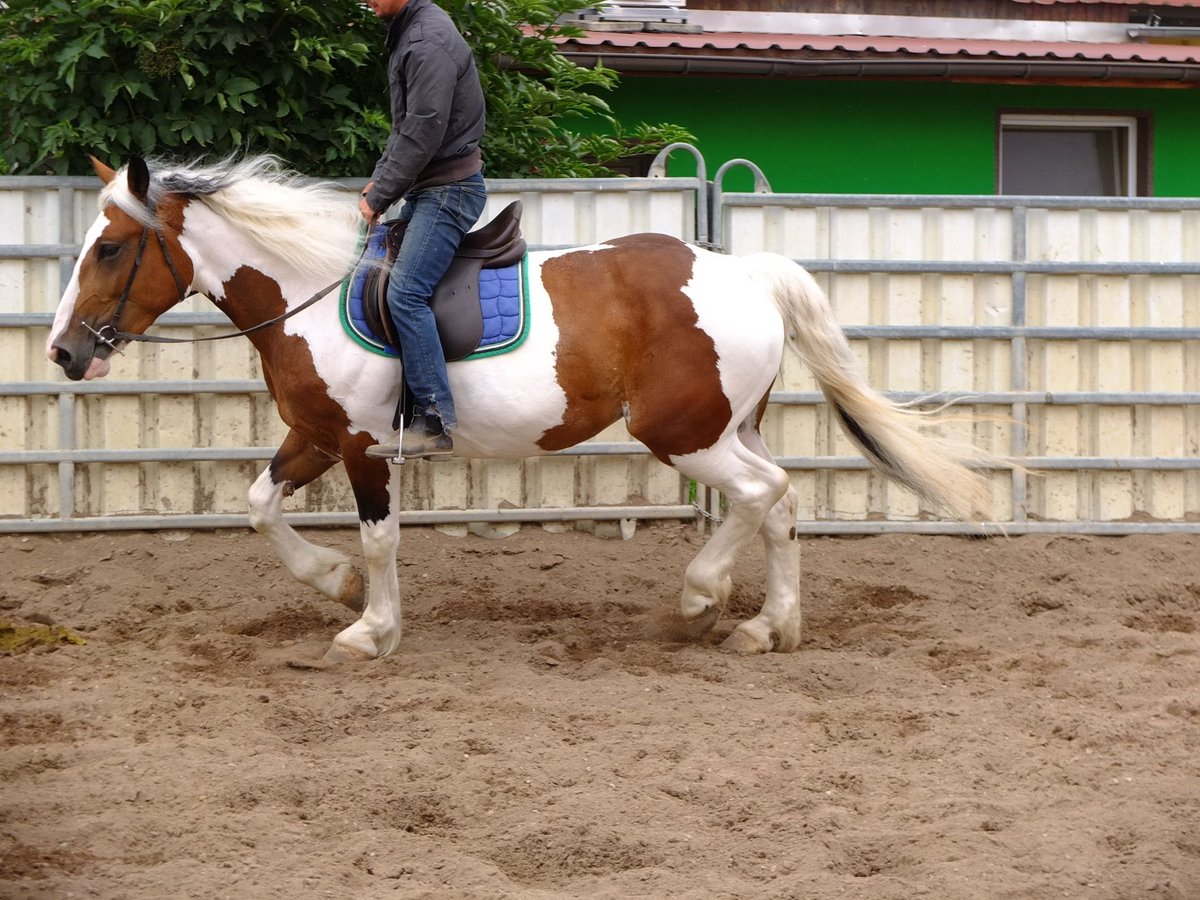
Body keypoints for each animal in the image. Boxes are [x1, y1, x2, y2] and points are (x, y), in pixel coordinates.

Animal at [44, 153, 993, 662]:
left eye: (112, 248)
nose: (63, 352)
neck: (309, 289)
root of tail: (745, 270)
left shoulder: (362, 447)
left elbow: (380, 539)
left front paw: (369, 629)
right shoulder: (314, 435)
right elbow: (257, 506)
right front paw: (337, 585)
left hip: (683, 434)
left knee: (764, 496)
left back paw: (703, 599)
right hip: (727, 428)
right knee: (781, 503)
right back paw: (769, 626)